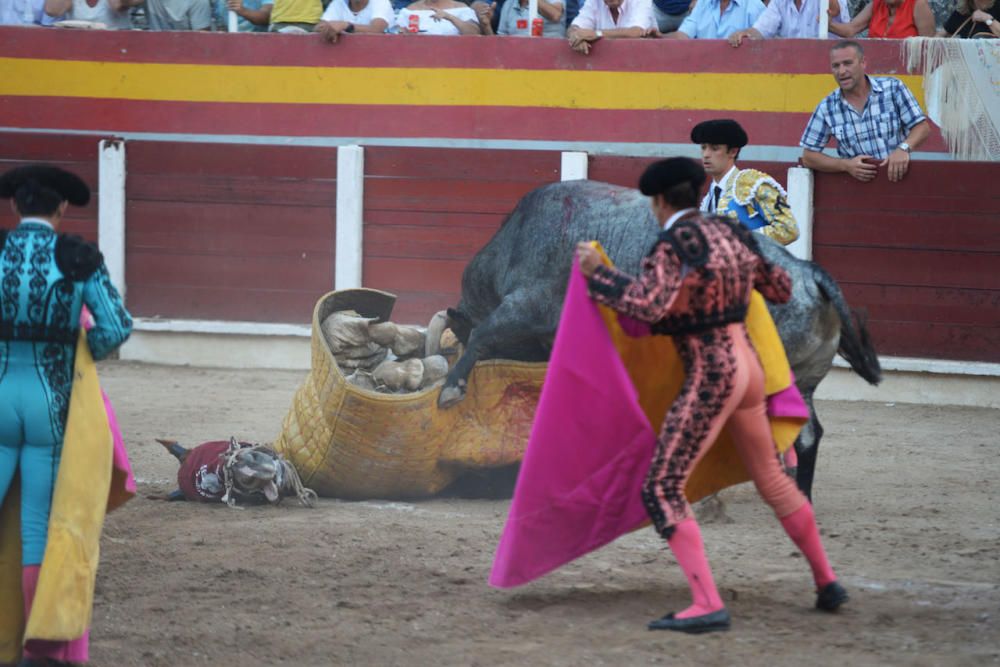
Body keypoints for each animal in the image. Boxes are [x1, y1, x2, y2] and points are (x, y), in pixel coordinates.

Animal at [430, 180, 884, 504]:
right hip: (799, 377)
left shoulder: (526, 305)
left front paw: (452, 388)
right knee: (807, 435)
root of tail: (808, 272)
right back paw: (797, 496)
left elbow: (484, 334)